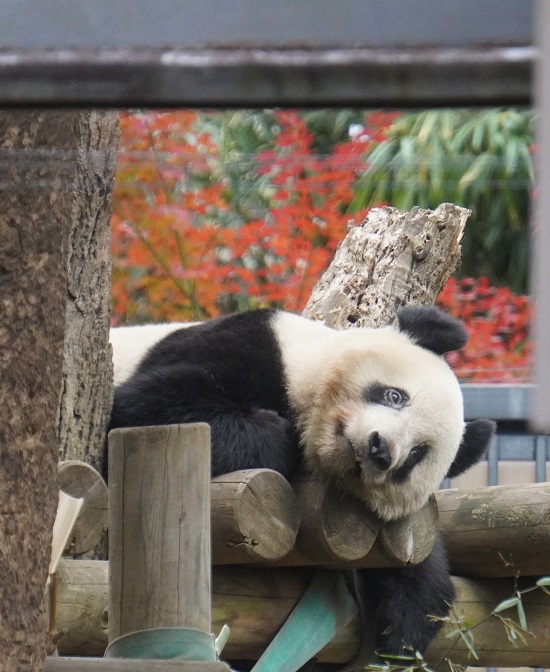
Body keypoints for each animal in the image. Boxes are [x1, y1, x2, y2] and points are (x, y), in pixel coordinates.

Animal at [110, 306, 498, 660]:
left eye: (416, 454)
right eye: (394, 395)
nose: (379, 449)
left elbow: (414, 555)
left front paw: (405, 626)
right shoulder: (244, 346)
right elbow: (138, 409)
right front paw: (277, 435)